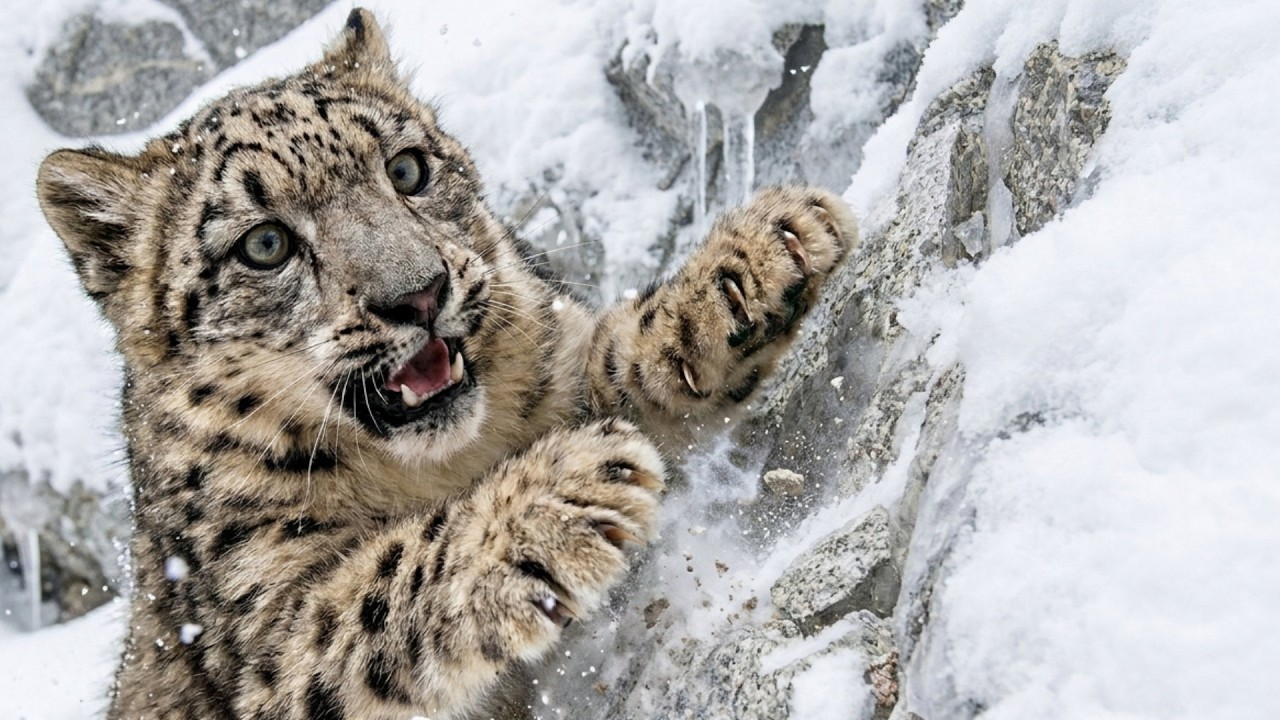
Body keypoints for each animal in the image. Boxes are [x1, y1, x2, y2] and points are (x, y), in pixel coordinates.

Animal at [35, 8, 856, 719]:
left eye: (407, 169)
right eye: (264, 244)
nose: (419, 292)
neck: (436, 468)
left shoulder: (554, 362)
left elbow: (607, 358)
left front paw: (749, 263)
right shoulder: (268, 631)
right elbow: (374, 591)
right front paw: (554, 504)